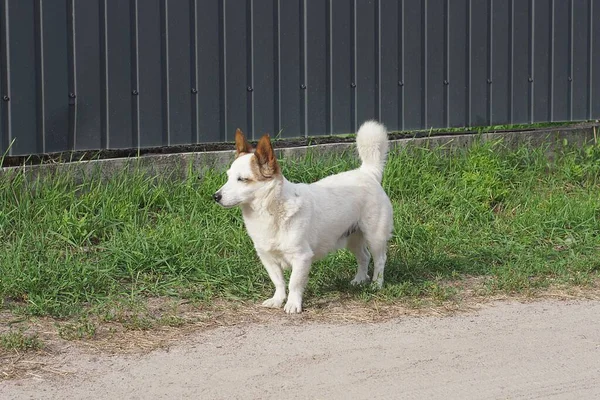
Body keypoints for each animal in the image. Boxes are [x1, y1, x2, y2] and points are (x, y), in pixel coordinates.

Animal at [214, 120, 394, 314]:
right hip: (352, 237)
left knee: (380, 260)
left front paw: (293, 304)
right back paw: (359, 280)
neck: (270, 211)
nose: (215, 196)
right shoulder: (267, 258)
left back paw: (376, 284)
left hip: (375, 237)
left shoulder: (301, 257)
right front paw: (278, 299)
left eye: (242, 179)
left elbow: (294, 283)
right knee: (364, 256)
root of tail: (367, 172)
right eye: (228, 177)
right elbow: (278, 281)